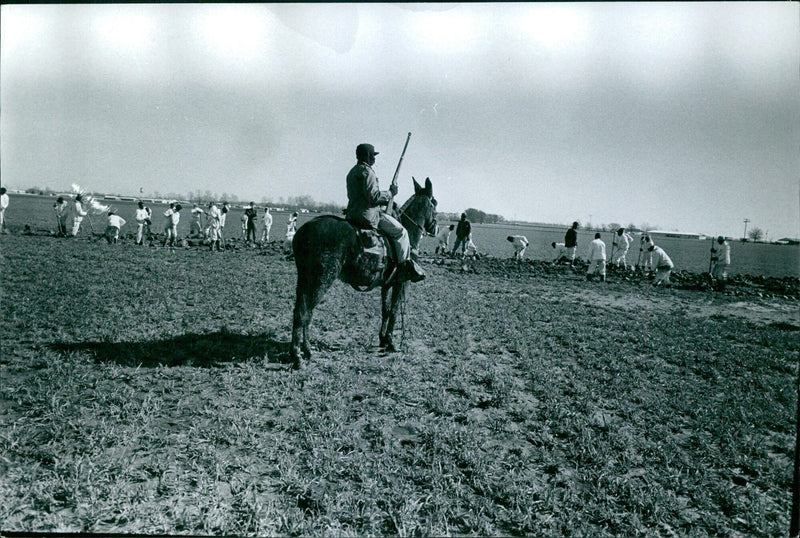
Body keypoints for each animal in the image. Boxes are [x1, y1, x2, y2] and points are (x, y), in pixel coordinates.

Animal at [290, 177, 438, 368]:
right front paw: (391, 342)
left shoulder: (387, 283)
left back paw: (306, 351)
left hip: (304, 279)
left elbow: (386, 310)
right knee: (304, 312)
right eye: (434, 203)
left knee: (303, 312)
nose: (435, 228)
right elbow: (394, 310)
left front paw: (382, 339)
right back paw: (298, 356)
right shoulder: (401, 283)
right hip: (321, 280)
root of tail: (303, 231)